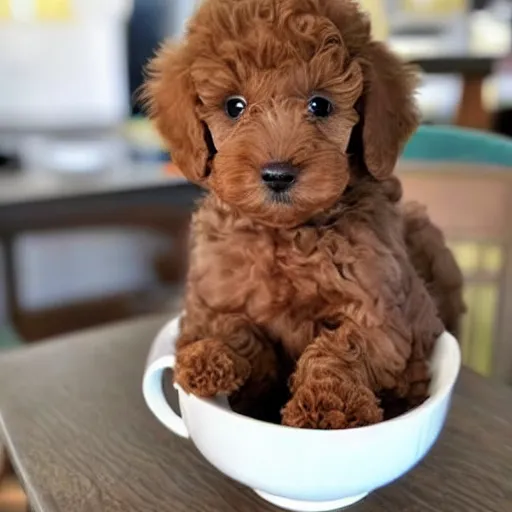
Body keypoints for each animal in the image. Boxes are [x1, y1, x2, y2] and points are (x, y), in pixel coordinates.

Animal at [142, 0, 466, 428]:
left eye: (320, 105)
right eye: (234, 106)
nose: (278, 174)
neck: (287, 233)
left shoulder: (384, 317)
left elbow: (340, 347)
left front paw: (328, 406)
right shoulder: (211, 297)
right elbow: (231, 326)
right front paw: (206, 357)